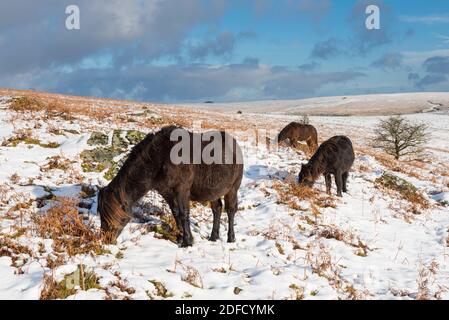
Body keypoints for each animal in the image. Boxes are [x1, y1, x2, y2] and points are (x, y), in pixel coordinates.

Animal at [97, 125, 243, 248]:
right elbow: (176, 213)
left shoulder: (181, 190)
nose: (106, 240)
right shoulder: (166, 192)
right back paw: (213, 237)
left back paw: (231, 239)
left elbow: (184, 214)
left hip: (232, 189)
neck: (161, 157)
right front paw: (180, 237)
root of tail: (234, 144)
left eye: (119, 217)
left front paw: (187, 242)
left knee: (230, 210)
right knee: (217, 209)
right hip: (214, 191)